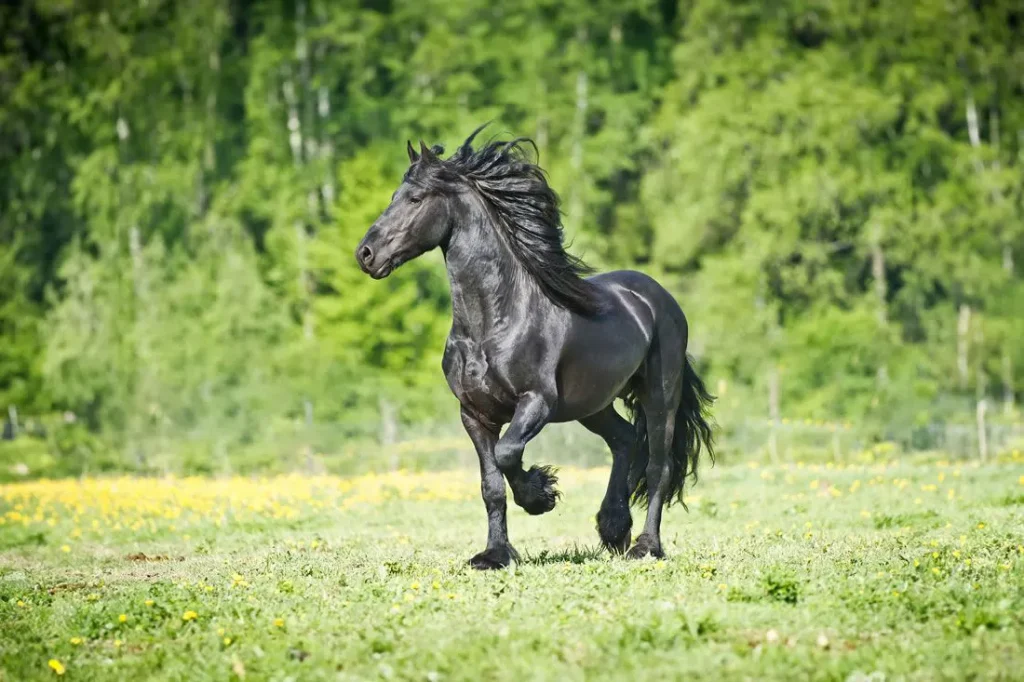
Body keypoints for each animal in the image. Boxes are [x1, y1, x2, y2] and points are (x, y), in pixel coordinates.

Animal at [356, 124, 716, 565]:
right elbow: (491, 485)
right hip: (593, 403)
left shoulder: (536, 402)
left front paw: (540, 495)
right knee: (624, 440)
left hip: (659, 395)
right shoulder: (474, 414)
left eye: (415, 199)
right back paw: (613, 528)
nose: (366, 254)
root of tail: (659, 297)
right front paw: (494, 554)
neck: (493, 324)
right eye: (394, 195)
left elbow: (508, 453)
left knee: (657, 467)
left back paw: (645, 546)